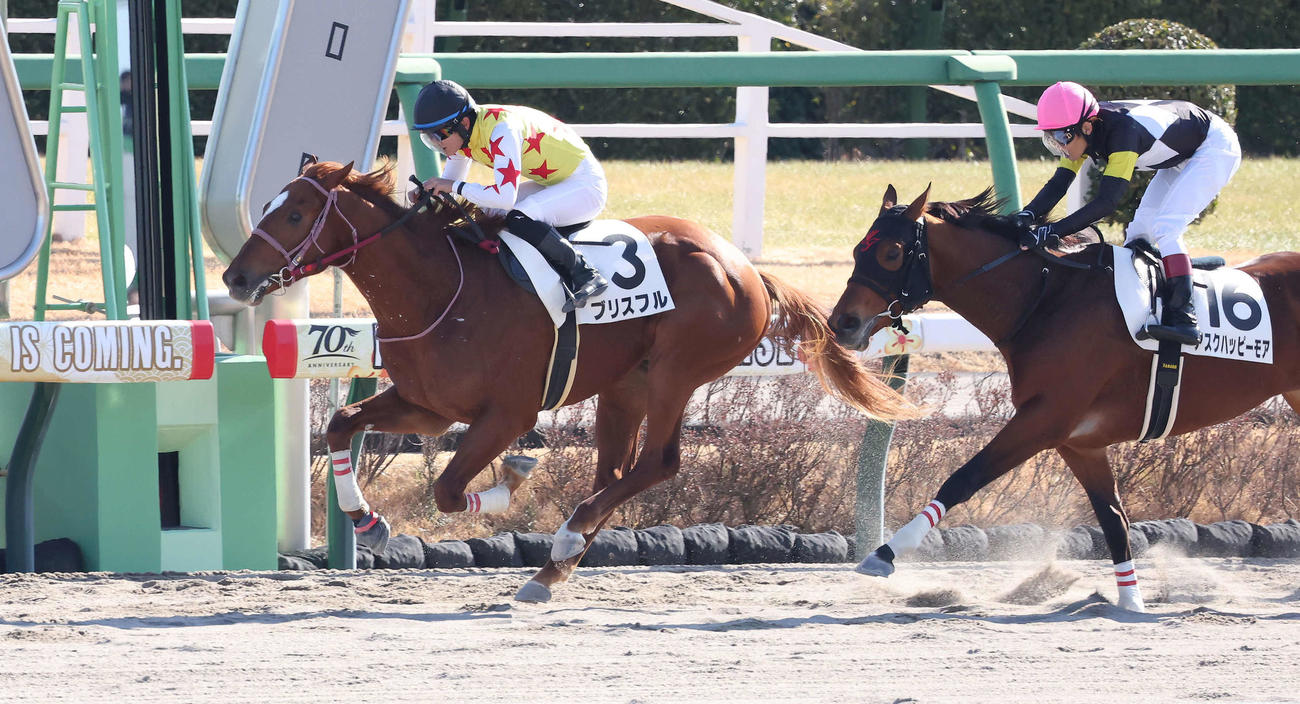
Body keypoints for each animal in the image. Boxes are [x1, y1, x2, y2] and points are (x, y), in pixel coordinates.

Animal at [223, 159, 911, 601]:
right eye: (270, 207)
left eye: (296, 214)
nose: (234, 277)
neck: (441, 291)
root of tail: (744, 266)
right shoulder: (427, 406)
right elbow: (343, 424)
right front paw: (365, 519)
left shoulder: (507, 415)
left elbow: (448, 491)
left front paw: (512, 482)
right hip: (625, 385)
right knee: (615, 471)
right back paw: (552, 567)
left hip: (675, 372)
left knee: (657, 464)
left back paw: (564, 542)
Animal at [829, 184, 1300, 612]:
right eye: (856, 250)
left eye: (892, 254)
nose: (841, 324)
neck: (1046, 300)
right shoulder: (1079, 442)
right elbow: (1113, 519)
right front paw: (1130, 602)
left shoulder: (1044, 419)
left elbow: (963, 478)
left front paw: (883, 554)